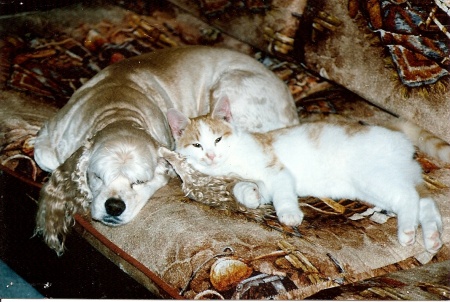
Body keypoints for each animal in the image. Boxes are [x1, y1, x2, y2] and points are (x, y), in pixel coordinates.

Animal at [31, 45, 298, 255]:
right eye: (97, 176)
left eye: (140, 181)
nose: (114, 207)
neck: (118, 110)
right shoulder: (48, 135)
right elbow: (46, 159)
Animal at [168, 96, 442, 252]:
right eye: (197, 145)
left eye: (217, 139)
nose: (211, 155)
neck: (232, 159)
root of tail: (394, 130)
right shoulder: (261, 182)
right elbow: (248, 187)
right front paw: (249, 195)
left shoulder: (278, 172)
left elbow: (283, 195)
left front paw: (289, 215)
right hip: (388, 180)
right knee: (424, 200)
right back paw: (431, 237)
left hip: (373, 176)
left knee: (409, 197)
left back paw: (408, 232)